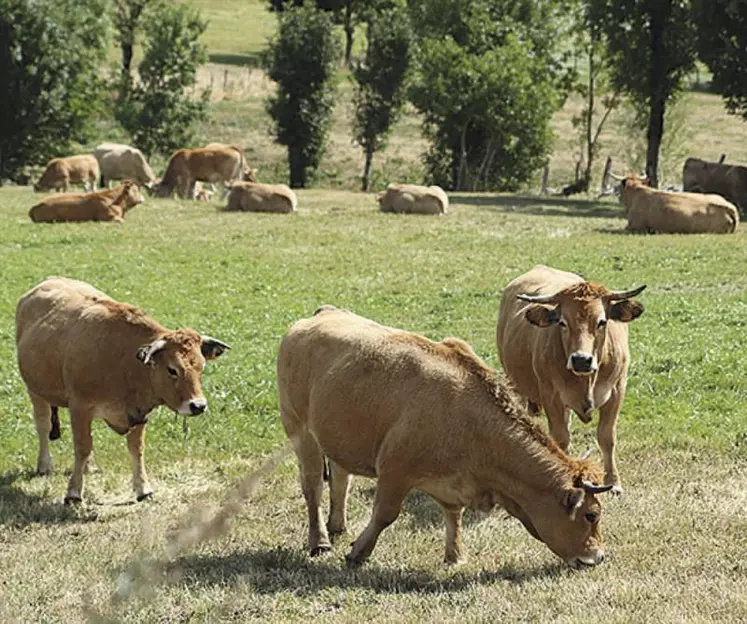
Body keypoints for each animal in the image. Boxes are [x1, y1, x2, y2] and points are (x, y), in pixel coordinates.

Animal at [14, 278, 229, 502]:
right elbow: (81, 447)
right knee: (43, 425)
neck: (124, 362)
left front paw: (143, 488)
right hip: (35, 391)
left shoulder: (138, 414)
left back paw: (90, 466)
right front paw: (73, 492)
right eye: (172, 369)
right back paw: (44, 465)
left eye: (201, 367)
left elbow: (136, 449)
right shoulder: (80, 407)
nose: (198, 405)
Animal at [280, 304, 612, 568]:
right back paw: (320, 541)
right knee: (313, 487)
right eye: (591, 515)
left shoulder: (454, 481)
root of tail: (322, 314)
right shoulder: (394, 472)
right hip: (300, 430)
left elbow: (454, 514)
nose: (598, 557)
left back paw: (338, 526)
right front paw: (359, 553)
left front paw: (455, 555)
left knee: (340, 477)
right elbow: (385, 515)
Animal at [496, 266, 648, 494]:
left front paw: (613, 482)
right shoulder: (551, 396)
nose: (581, 360)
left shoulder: (617, 390)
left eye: (601, 322)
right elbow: (561, 438)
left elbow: (607, 437)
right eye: (562, 322)